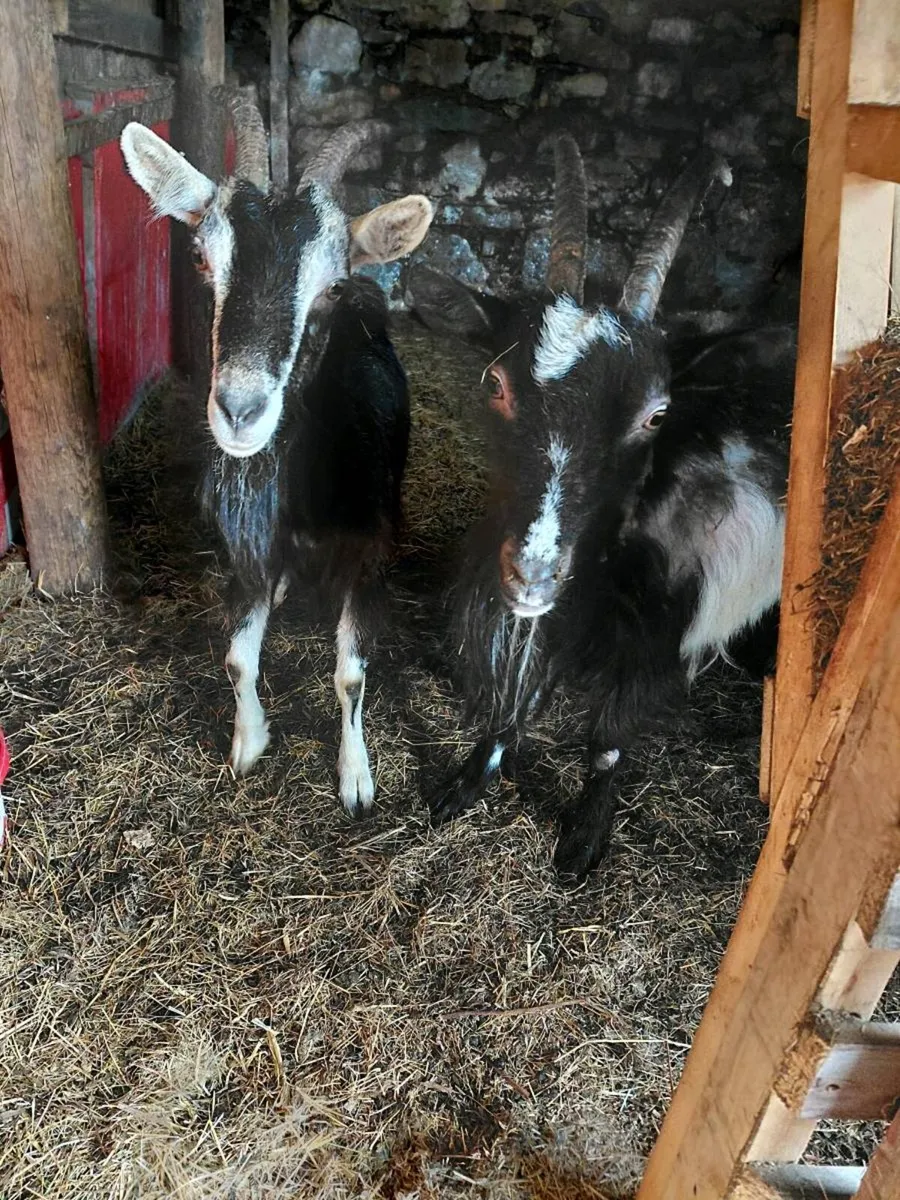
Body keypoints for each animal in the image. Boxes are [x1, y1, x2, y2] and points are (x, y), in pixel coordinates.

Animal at [120, 100, 433, 813]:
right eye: (201, 258)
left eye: (331, 285)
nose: (239, 410)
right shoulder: (249, 542)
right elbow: (238, 656)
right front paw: (249, 742)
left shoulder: (367, 543)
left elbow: (350, 674)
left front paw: (355, 778)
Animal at [406, 136, 793, 881]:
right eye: (495, 383)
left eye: (657, 414)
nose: (534, 572)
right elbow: (516, 699)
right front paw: (467, 780)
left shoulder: (660, 629)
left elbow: (609, 740)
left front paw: (583, 838)